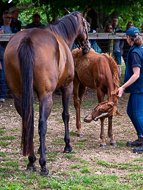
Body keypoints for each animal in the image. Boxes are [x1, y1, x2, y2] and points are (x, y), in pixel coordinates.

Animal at [3, 10, 90, 176]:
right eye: (87, 25)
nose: (87, 47)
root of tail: (27, 39)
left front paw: (39, 149)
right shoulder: (67, 86)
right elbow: (65, 115)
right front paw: (67, 145)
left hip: (20, 97)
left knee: (28, 122)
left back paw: (31, 161)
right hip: (46, 95)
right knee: (42, 124)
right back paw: (43, 165)